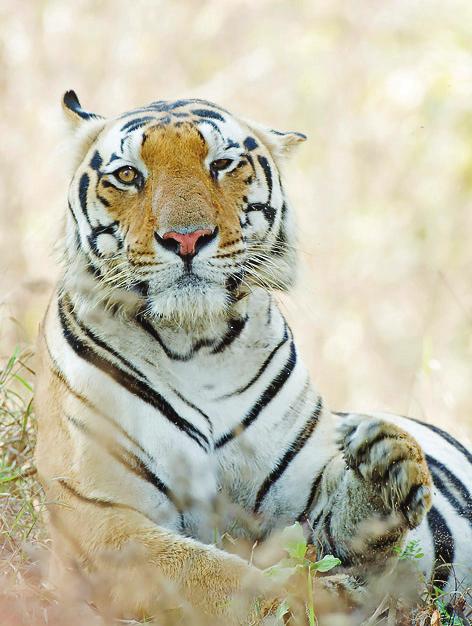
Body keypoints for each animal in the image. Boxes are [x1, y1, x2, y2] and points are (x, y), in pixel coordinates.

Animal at [34, 90, 472, 620]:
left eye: (221, 164)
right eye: (127, 175)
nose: (186, 238)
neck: (194, 344)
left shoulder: (302, 491)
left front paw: (384, 475)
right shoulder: (101, 516)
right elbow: (210, 576)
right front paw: (303, 606)